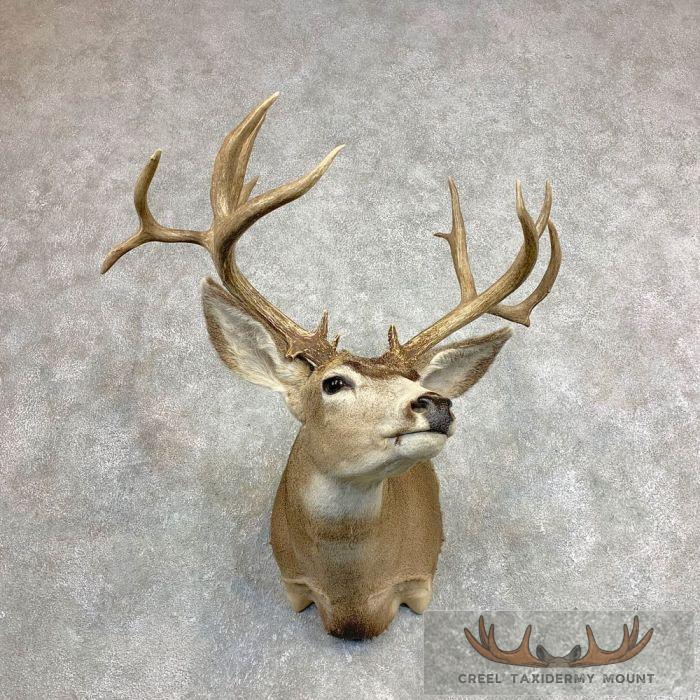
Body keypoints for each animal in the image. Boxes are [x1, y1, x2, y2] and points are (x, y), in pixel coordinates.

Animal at [101, 94, 561, 640]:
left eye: (413, 379)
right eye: (333, 382)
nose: (435, 401)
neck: (353, 601)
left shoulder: (420, 577)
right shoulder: (291, 579)